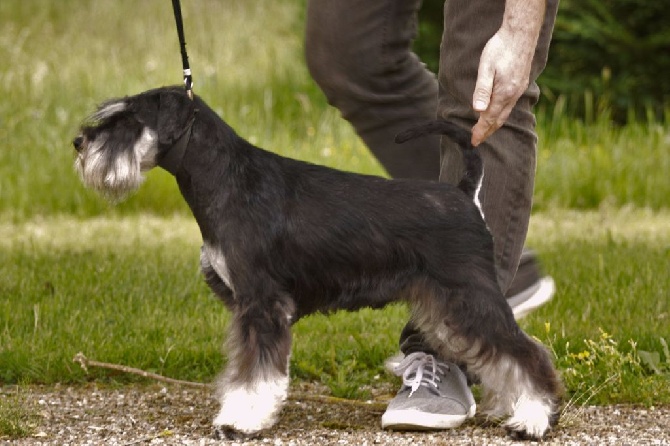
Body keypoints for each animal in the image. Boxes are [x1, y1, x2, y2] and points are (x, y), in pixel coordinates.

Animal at [72, 86, 560, 440]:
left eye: (129, 119)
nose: (79, 142)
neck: (227, 180)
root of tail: (463, 194)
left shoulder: (262, 305)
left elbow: (256, 373)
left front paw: (241, 421)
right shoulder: (245, 308)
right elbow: (241, 368)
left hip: (468, 298)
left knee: (526, 353)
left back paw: (534, 420)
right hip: (443, 306)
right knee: (499, 356)